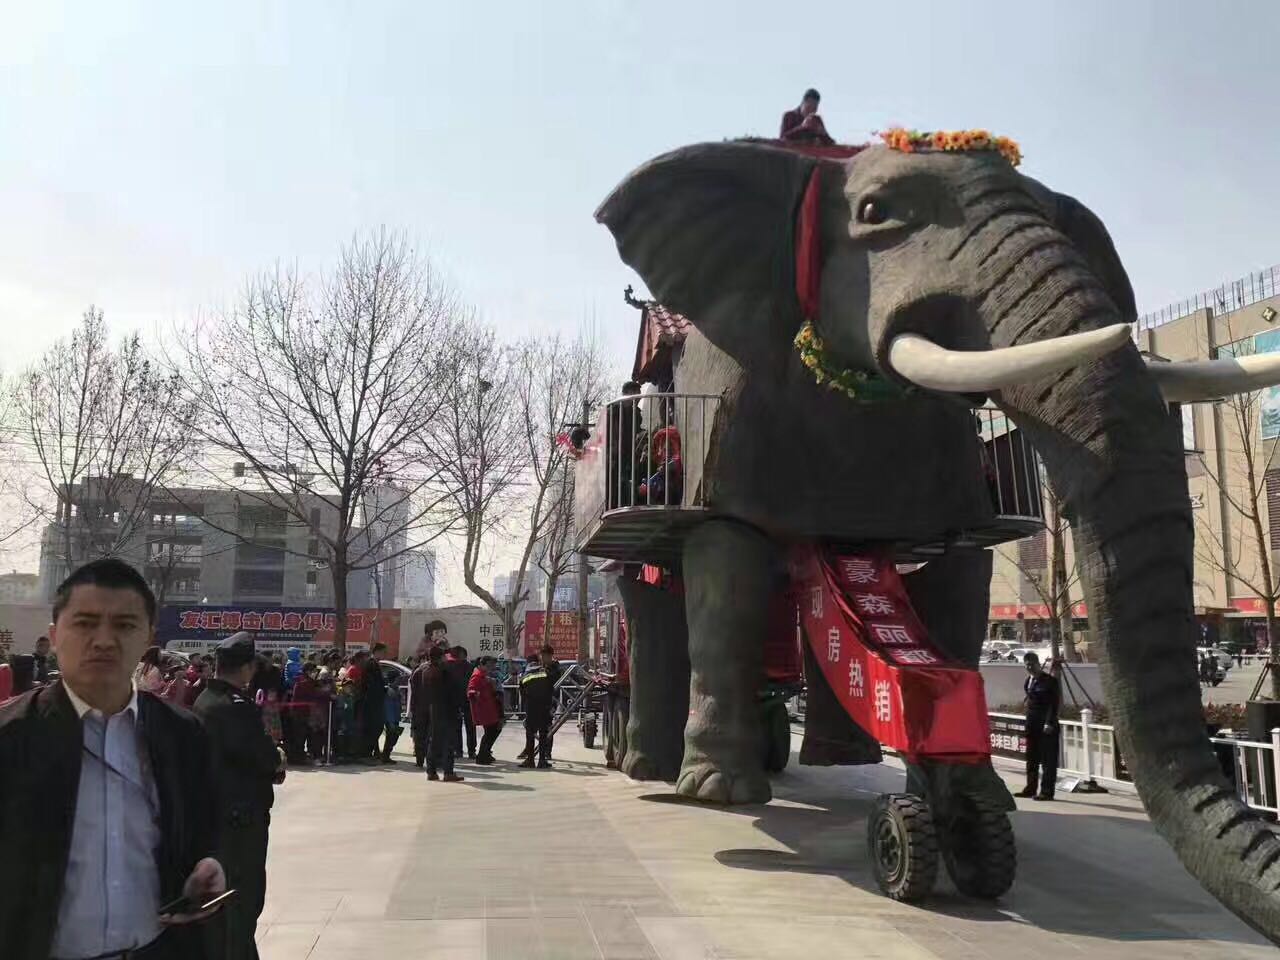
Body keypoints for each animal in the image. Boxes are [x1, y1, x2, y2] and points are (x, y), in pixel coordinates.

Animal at [596, 138, 1280, 942]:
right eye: (874, 212)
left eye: (1058, 217)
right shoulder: (730, 426)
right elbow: (725, 567)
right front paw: (721, 795)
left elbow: (958, 582)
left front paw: (974, 801)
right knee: (645, 599)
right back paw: (650, 770)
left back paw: (835, 760)